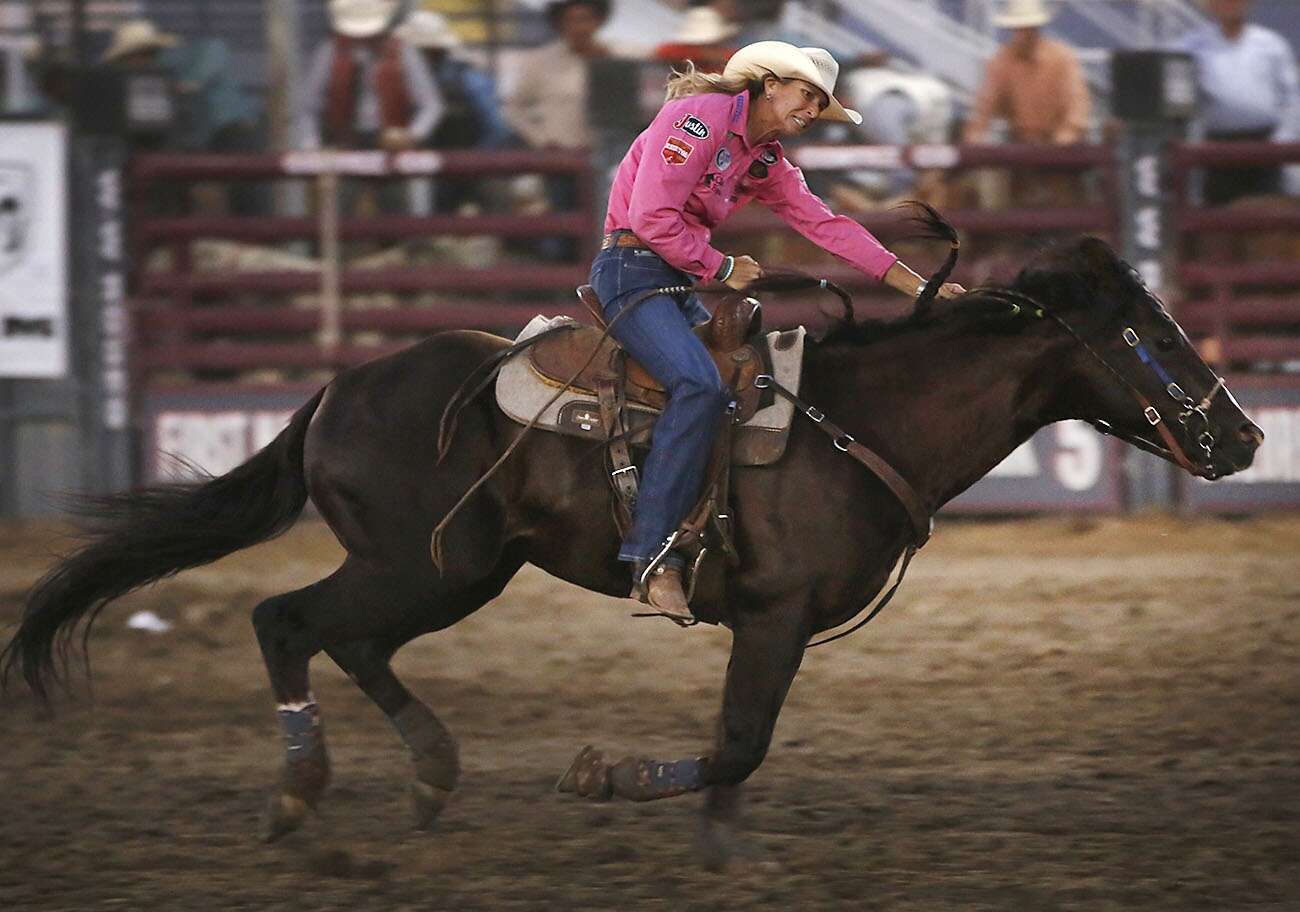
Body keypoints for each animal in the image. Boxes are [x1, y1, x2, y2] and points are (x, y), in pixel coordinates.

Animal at [0, 215, 1258, 862]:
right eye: (1153, 337)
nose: (1242, 435)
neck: (858, 420)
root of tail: (336, 389)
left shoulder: (773, 626)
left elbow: (738, 756)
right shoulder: (773, 617)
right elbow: (737, 744)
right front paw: (607, 780)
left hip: (453, 573)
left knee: (346, 641)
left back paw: (429, 778)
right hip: (420, 564)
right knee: (284, 620)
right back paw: (302, 795)